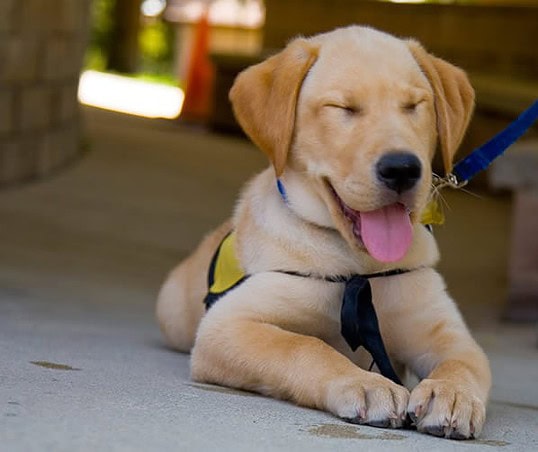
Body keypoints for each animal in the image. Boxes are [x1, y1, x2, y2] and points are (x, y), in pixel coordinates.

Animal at [156, 26, 490, 440]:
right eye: (342, 108)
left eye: (415, 105)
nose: (402, 168)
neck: (360, 269)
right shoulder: (228, 325)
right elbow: (304, 346)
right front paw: (366, 383)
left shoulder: (446, 332)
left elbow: (463, 363)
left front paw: (452, 395)